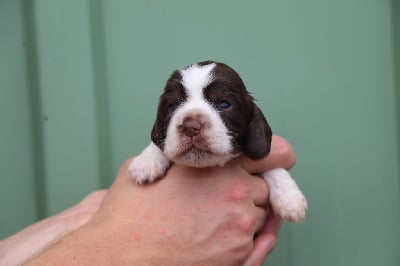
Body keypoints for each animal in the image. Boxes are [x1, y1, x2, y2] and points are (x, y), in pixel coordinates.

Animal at [128, 60, 306, 222]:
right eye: (171, 106)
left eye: (224, 104)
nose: (190, 126)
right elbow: (159, 144)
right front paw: (146, 161)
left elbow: (272, 166)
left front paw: (290, 198)